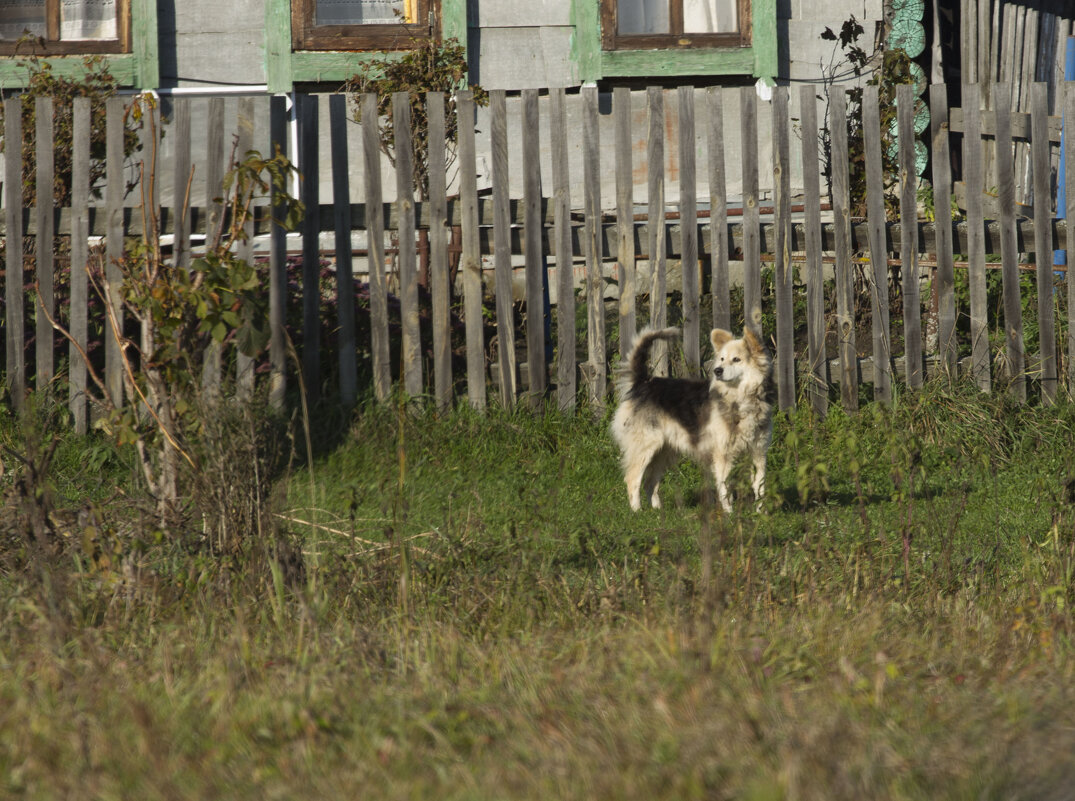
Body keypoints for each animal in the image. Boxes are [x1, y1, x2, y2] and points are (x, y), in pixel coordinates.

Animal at [614, 326, 774, 509]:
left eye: (736, 359)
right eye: (722, 359)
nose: (717, 371)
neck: (740, 399)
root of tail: (643, 383)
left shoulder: (759, 452)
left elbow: (760, 486)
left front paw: (760, 512)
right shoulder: (723, 455)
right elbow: (725, 488)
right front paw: (729, 512)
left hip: (663, 452)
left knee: (649, 483)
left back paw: (658, 511)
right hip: (645, 447)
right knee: (632, 479)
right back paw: (637, 511)